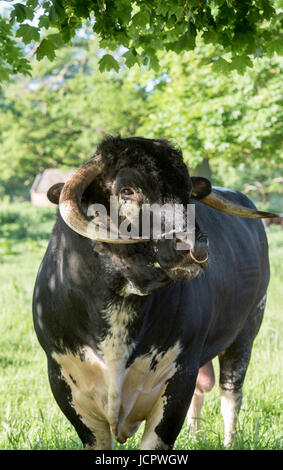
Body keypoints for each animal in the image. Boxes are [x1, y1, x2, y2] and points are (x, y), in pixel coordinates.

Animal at [32, 137, 278, 452]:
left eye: (187, 192)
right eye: (127, 190)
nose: (195, 245)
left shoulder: (179, 377)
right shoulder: (63, 382)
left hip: (246, 330)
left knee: (230, 395)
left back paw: (227, 442)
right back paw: (194, 436)